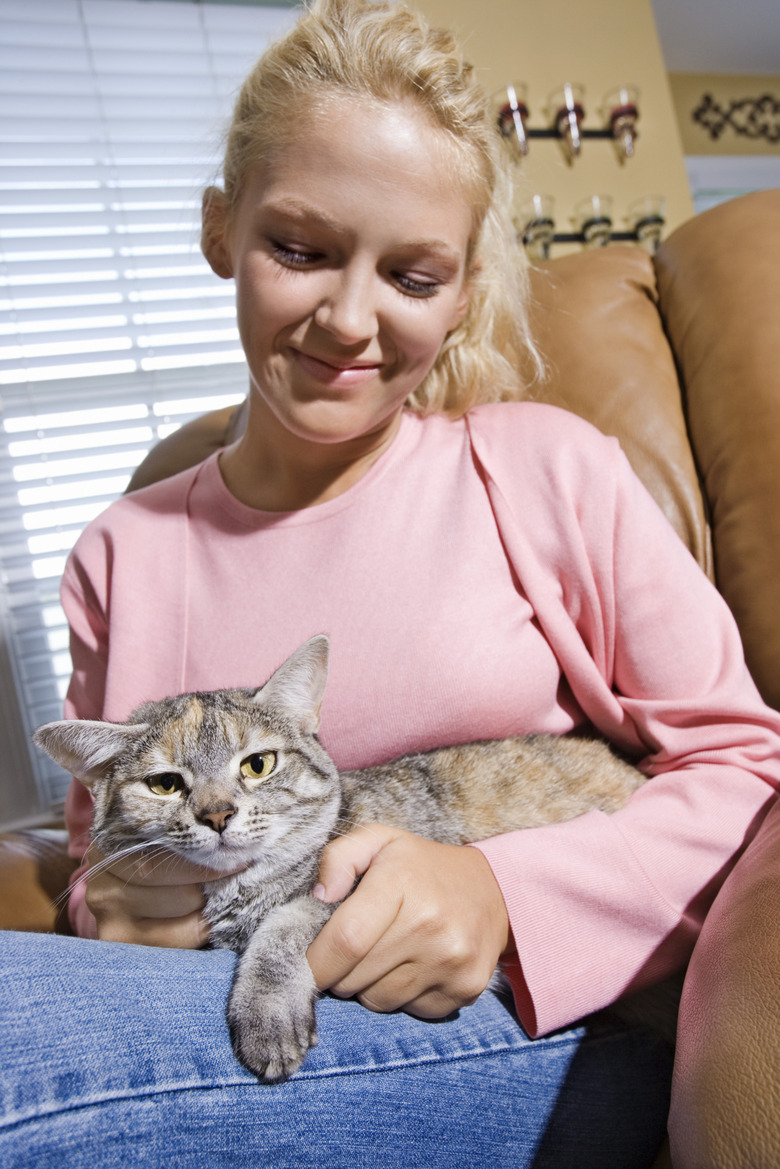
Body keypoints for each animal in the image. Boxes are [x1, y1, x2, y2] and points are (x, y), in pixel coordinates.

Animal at [33, 635, 645, 1080]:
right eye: (164, 784)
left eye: (257, 765)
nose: (217, 814)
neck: (238, 895)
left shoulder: (346, 886)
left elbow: (282, 927)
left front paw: (266, 1011)